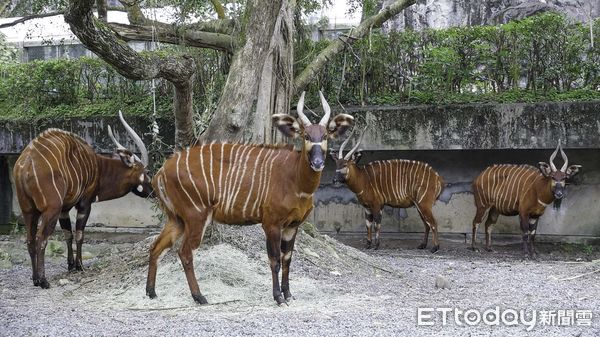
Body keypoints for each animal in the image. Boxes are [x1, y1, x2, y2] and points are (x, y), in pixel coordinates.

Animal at [13, 111, 151, 288]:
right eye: (146, 172)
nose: (153, 191)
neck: (99, 166)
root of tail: (26, 164)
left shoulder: (64, 210)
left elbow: (68, 234)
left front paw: (71, 265)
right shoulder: (85, 203)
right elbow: (79, 234)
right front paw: (79, 266)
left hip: (29, 211)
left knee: (30, 240)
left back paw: (35, 279)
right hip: (50, 210)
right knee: (40, 239)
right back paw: (43, 281)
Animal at [145, 91, 352, 304]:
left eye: (325, 135)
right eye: (306, 136)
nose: (318, 162)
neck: (296, 179)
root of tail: (160, 172)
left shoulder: (292, 226)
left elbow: (287, 259)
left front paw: (288, 294)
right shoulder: (271, 223)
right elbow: (275, 260)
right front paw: (278, 297)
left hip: (176, 219)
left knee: (155, 248)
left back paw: (151, 292)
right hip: (196, 216)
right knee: (184, 252)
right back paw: (199, 296)